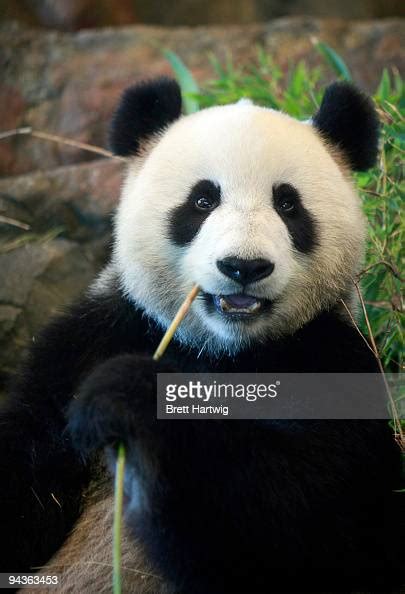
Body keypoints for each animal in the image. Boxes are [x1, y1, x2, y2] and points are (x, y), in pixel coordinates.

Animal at [0, 76, 404, 588]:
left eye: (288, 204)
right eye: (202, 200)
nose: (244, 266)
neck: (221, 351)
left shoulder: (330, 361)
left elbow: (314, 527)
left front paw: (130, 396)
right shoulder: (92, 343)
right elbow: (25, 474)